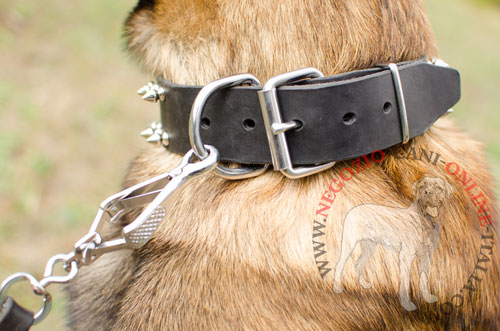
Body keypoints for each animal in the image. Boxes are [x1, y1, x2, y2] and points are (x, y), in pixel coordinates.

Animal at [334, 178, 456, 312]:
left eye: (439, 187)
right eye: (422, 186)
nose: (427, 193)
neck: (425, 220)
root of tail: (353, 209)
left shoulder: (426, 257)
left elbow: (424, 279)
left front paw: (427, 298)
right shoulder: (406, 256)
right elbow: (405, 282)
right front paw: (407, 305)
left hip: (369, 247)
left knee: (358, 263)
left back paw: (364, 284)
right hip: (349, 243)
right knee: (339, 264)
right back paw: (337, 288)